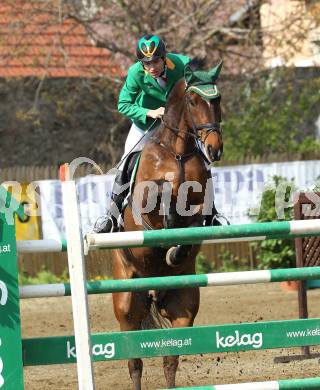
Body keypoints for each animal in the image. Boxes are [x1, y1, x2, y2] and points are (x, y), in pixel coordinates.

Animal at [110, 61, 222, 390]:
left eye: (218, 100)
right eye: (194, 101)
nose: (215, 149)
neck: (178, 151)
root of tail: (152, 291)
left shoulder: (200, 203)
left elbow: (192, 219)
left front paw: (175, 250)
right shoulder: (147, 202)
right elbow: (163, 199)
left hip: (183, 305)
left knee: (170, 359)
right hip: (126, 305)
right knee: (134, 362)